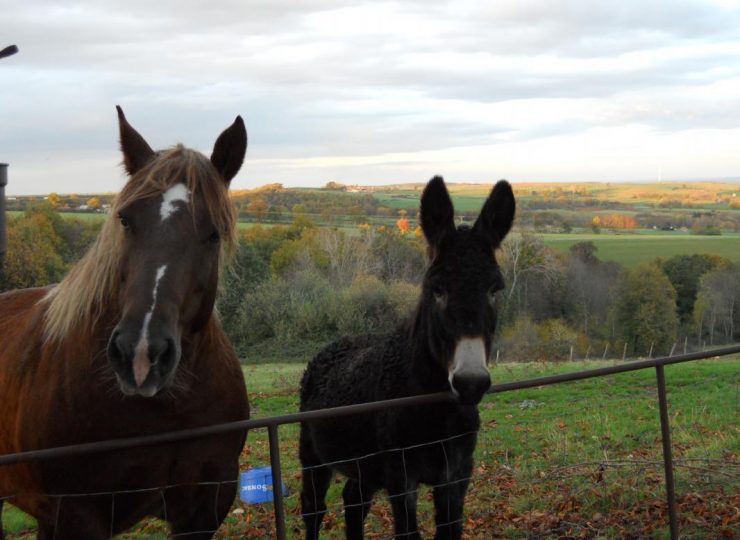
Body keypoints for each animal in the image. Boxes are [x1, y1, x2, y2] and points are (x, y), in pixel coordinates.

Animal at [0, 107, 250, 536]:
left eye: (214, 234)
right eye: (125, 220)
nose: (141, 355)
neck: (169, 409)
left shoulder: (205, 507)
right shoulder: (78, 515)